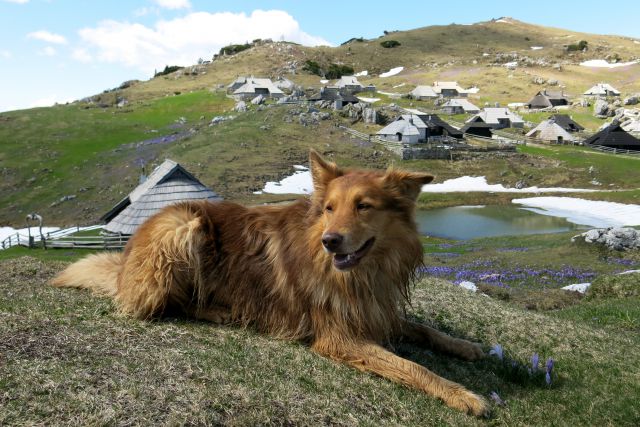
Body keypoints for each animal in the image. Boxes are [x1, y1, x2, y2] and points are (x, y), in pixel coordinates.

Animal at [52, 151, 488, 418]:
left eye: (364, 206)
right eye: (329, 208)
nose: (330, 240)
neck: (362, 273)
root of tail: (126, 258)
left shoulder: (373, 310)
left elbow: (424, 330)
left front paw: (465, 346)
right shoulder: (339, 337)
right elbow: (412, 367)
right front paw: (461, 394)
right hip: (182, 227)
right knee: (168, 302)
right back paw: (220, 311)